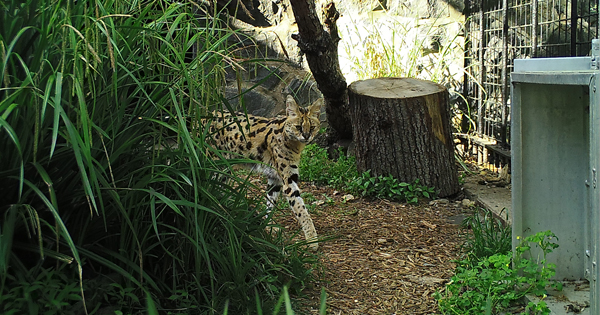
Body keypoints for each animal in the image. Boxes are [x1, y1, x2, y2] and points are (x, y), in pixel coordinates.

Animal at [210, 95, 324, 251]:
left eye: (312, 127)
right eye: (298, 127)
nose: (306, 136)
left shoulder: (275, 178)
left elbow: (270, 203)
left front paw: (268, 227)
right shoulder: (288, 180)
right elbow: (301, 209)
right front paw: (312, 239)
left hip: (223, 169)